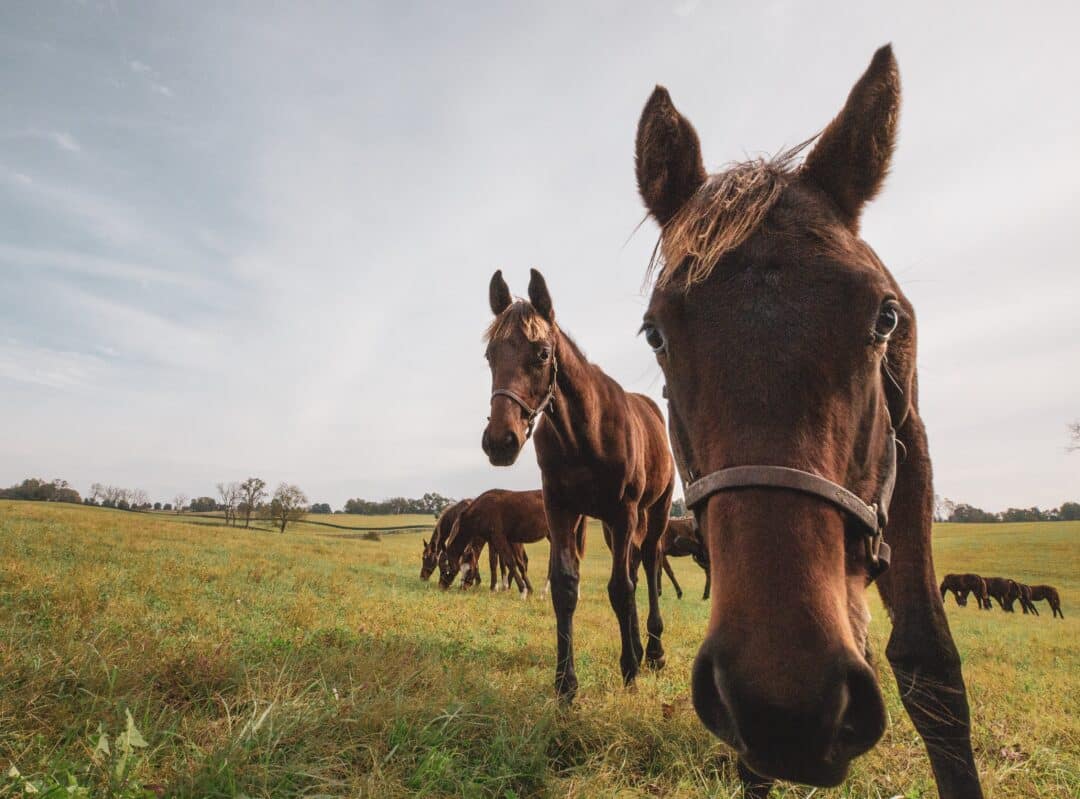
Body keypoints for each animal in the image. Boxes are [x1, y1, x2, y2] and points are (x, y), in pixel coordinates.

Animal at [482, 270, 675, 696]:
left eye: (542, 353)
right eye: (490, 356)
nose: (500, 441)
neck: (585, 434)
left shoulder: (624, 511)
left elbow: (621, 588)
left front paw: (629, 671)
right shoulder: (561, 509)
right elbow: (566, 587)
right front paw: (565, 683)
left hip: (653, 513)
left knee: (649, 564)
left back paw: (653, 653)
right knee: (634, 566)